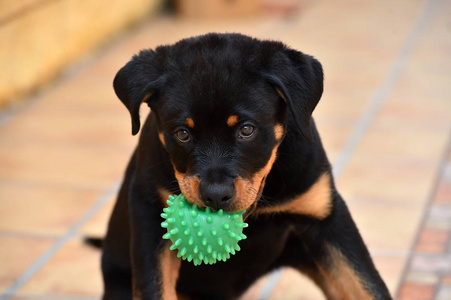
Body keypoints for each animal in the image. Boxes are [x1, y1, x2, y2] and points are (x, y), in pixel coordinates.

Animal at [102, 33, 392, 300]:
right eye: (182, 134)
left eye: (246, 130)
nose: (215, 195)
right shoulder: (148, 213)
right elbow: (153, 287)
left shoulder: (325, 215)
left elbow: (367, 285)